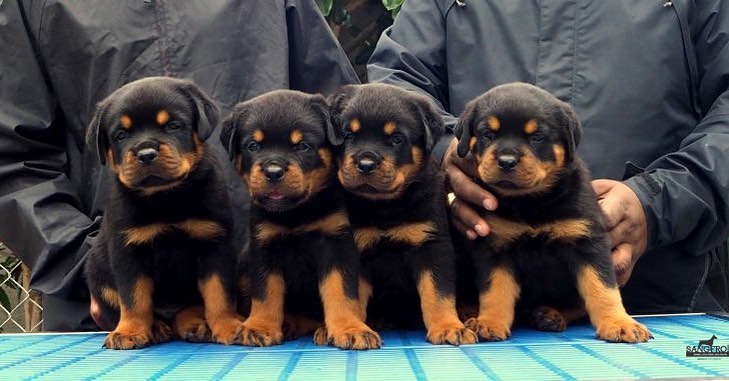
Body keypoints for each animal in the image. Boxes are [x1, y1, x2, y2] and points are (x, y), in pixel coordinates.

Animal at [82, 76, 242, 348]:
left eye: (173, 125)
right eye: (121, 134)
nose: (146, 154)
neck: (165, 197)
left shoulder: (214, 244)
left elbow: (219, 294)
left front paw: (229, 326)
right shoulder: (128, 251)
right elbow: (133, 298)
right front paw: (130, 331)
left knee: (187, 308)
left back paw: (193, 324)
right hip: (99, 276)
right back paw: (155, 327)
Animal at [219, 90, 382, 350]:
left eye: (303, 146)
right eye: (253, 146)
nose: (273, 171)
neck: (296, 213)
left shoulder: (336, 244)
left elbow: (340, 291)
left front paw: (350, 329)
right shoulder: (265, 245)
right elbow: (265, 292)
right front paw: (259, 327)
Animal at [328, 83, 478, 344]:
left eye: (396, 139)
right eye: (348, 135)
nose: (365, 164)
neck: (385, 206)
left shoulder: (431, 244)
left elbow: (437, 293)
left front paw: (448, 327)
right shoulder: (358, 252)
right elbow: (350, 296)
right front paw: (354, 329)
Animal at [456, 81, 648, 342]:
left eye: (537, 137)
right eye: (488, 134)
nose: (506, 161)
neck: (531, 202)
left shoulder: (588, 241)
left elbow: (602, 287)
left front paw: (619, 323)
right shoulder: (495, 246)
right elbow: (495, 288)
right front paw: (490, 322)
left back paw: (551, 314)